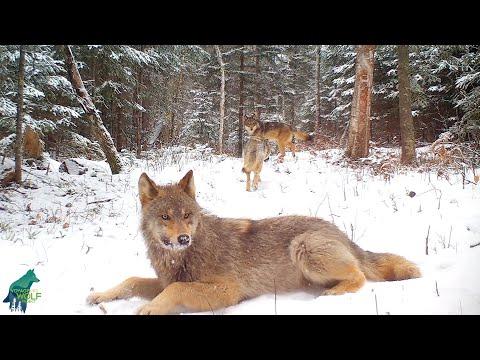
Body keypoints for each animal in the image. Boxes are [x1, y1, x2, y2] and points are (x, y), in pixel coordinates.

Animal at [86, 170, 420, 314]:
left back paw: (331, 295)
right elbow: (131, 280)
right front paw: (100, 295)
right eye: (166, 217)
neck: (188, 253)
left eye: (187, 215)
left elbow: (177, 289)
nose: (183, 238)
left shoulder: (229, 290)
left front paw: (148, 310)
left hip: (302, 247)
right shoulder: (163, 280)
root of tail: (341, 234)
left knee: (360, 276)